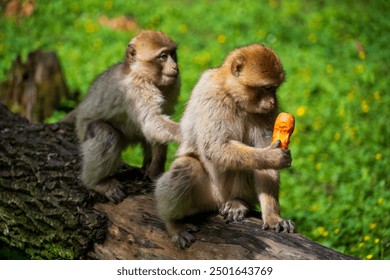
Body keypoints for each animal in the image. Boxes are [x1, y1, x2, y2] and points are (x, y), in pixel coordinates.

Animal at [66, 30, 183, 203]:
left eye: (173, 54)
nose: (175, 66)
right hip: (84, 131)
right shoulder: (136, 90)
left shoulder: (173, 86)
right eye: (163, 56)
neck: (142, 75)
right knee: (106, 135)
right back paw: (95, 183)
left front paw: (156, 168)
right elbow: (151, 122)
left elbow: (156, 128)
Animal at [155, 44, 296, 249]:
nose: (272, 101)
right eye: (267, 88)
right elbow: (214, 147)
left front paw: (273, 216)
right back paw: (173, 223)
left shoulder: (267, 113)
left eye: (275, 89)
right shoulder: (212, 96)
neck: (232, 95)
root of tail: (219, 200)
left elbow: (263, 159)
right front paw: (273, 157)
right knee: (186, 167)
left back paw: (238, 201)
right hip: (205, 195)